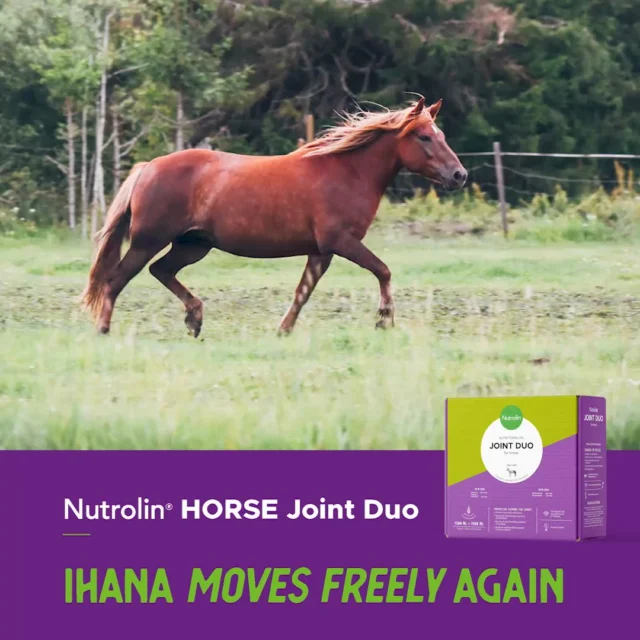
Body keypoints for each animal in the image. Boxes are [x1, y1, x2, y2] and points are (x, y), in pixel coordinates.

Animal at [82, 97, 467, 337]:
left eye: (442, 134)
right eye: (424, 136)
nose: (459, 175)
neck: (348, 172)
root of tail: (148, 167)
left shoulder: (321, 251)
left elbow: (303, 291)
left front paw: (283, 330)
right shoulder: (340, 241)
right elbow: (383, 270)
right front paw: (384, 320)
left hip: (193, 245)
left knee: (160, 271)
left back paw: (195, 318)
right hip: (148, 241)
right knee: (116, 280)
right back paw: (103, 330)